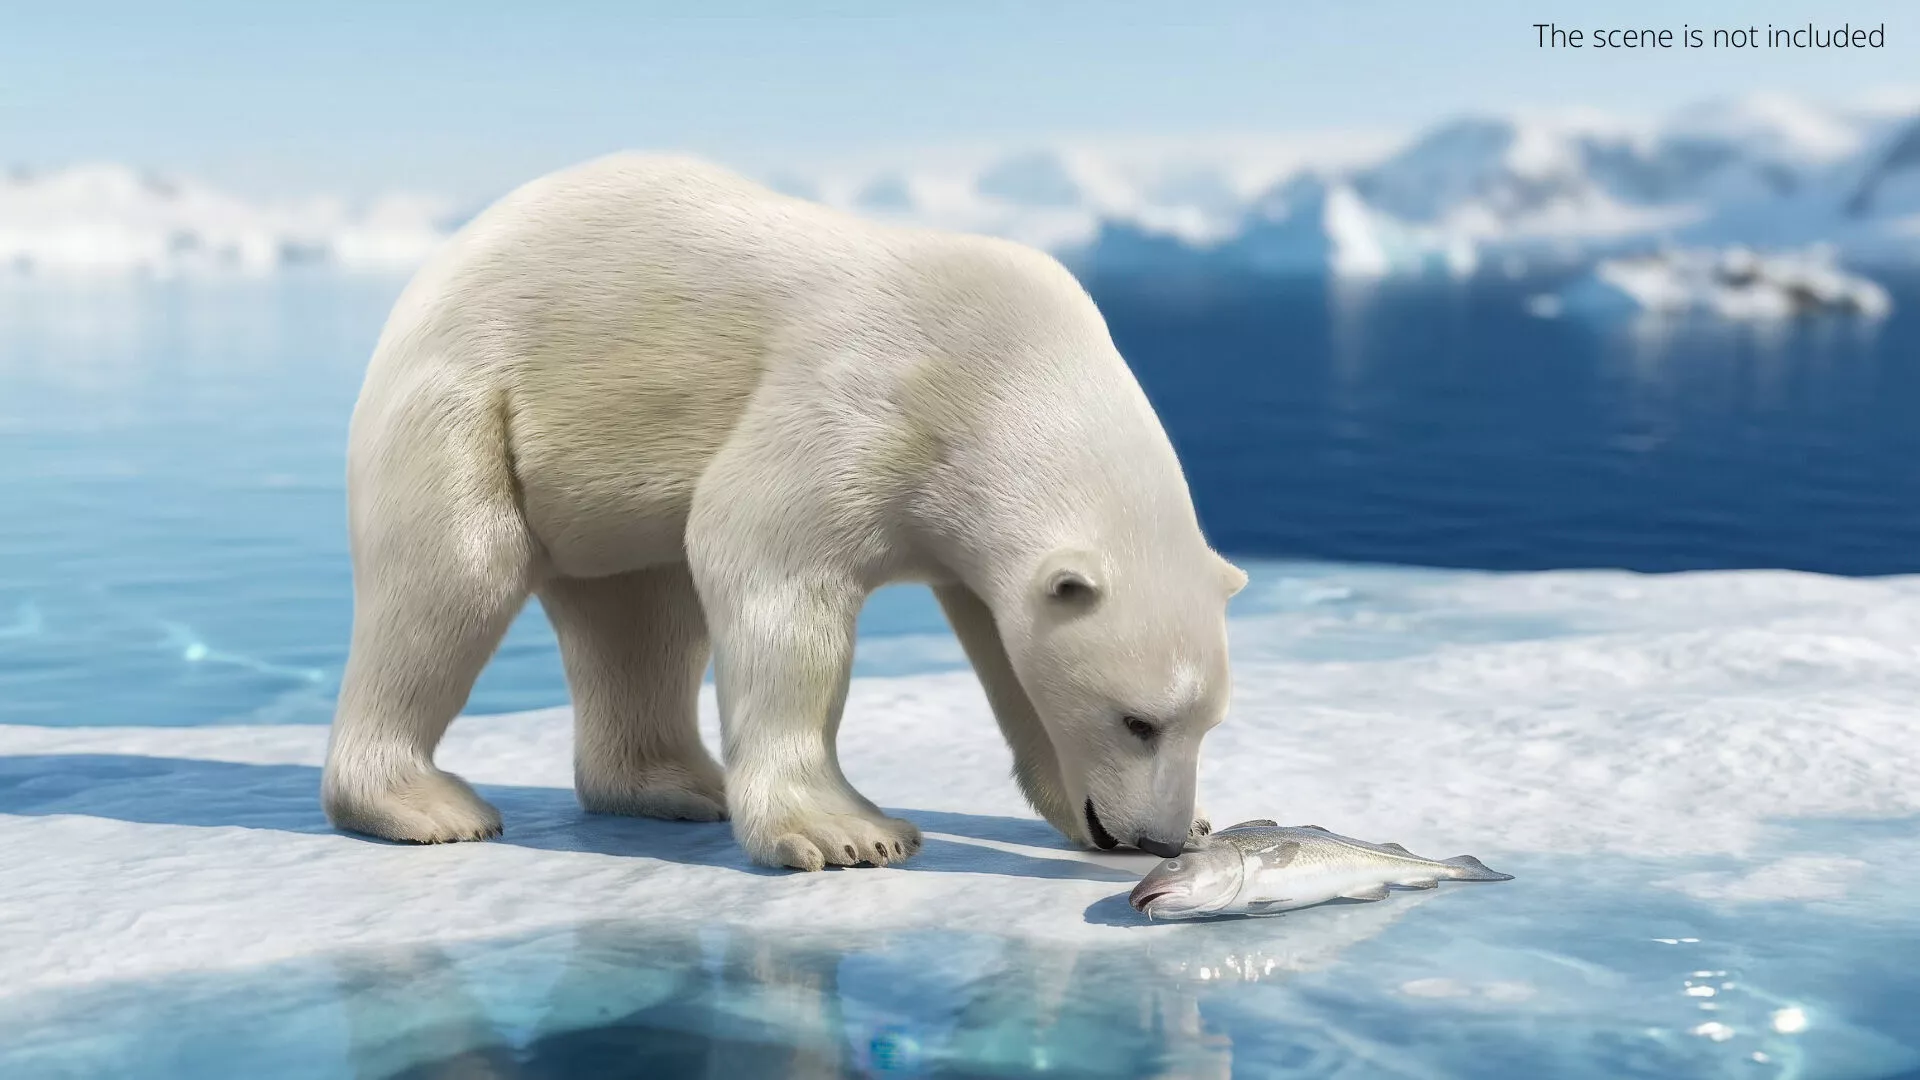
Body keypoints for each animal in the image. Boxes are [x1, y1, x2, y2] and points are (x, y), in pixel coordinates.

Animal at [320, 153, 1246, 871]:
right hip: (468, 405)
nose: (1161, 840)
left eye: (1207, 722)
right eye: (1137, 721)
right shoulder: (871, 394)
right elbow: (766, 553)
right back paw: (424, 806)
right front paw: (848, 834)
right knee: (452, 579)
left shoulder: (973, 533)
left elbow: (1010, 655)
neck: (1013, 372)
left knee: (642, 615)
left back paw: (677, 784)